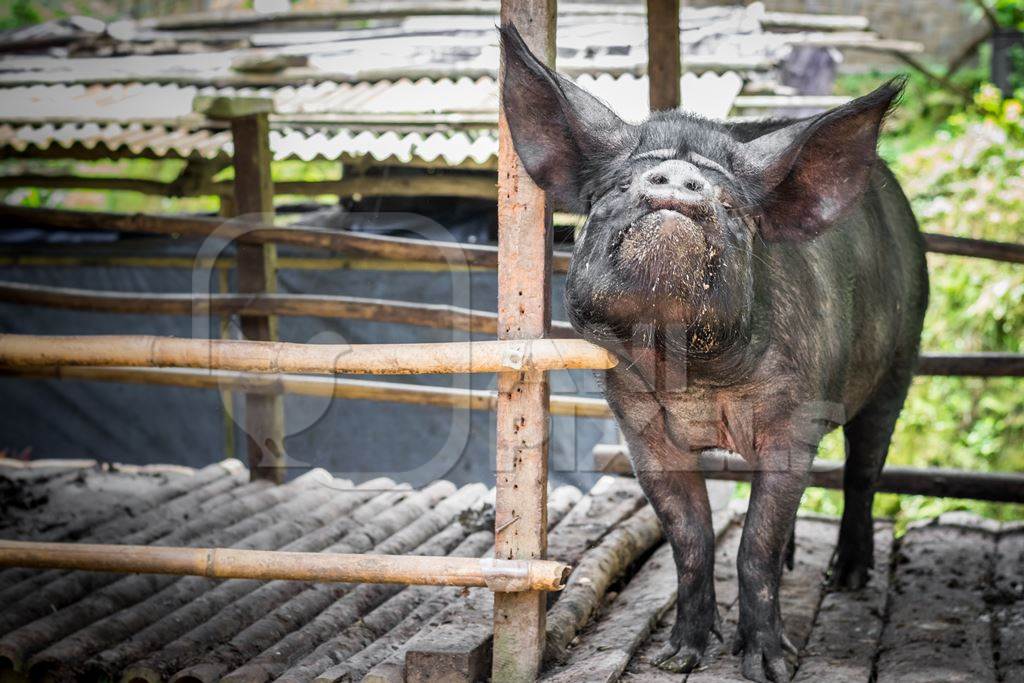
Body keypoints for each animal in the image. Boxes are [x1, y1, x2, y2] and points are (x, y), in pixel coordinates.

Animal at [499, 24, 933, 679]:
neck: (695, 375)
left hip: (902, 360)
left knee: (863, 470)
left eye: (734, 207)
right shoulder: (641, 430)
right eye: (616, 187)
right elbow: (691, 537)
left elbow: (755, 540)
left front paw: (769, 665)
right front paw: (678, 656)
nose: (680, 180)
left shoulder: (796, 420)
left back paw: (849, 579)